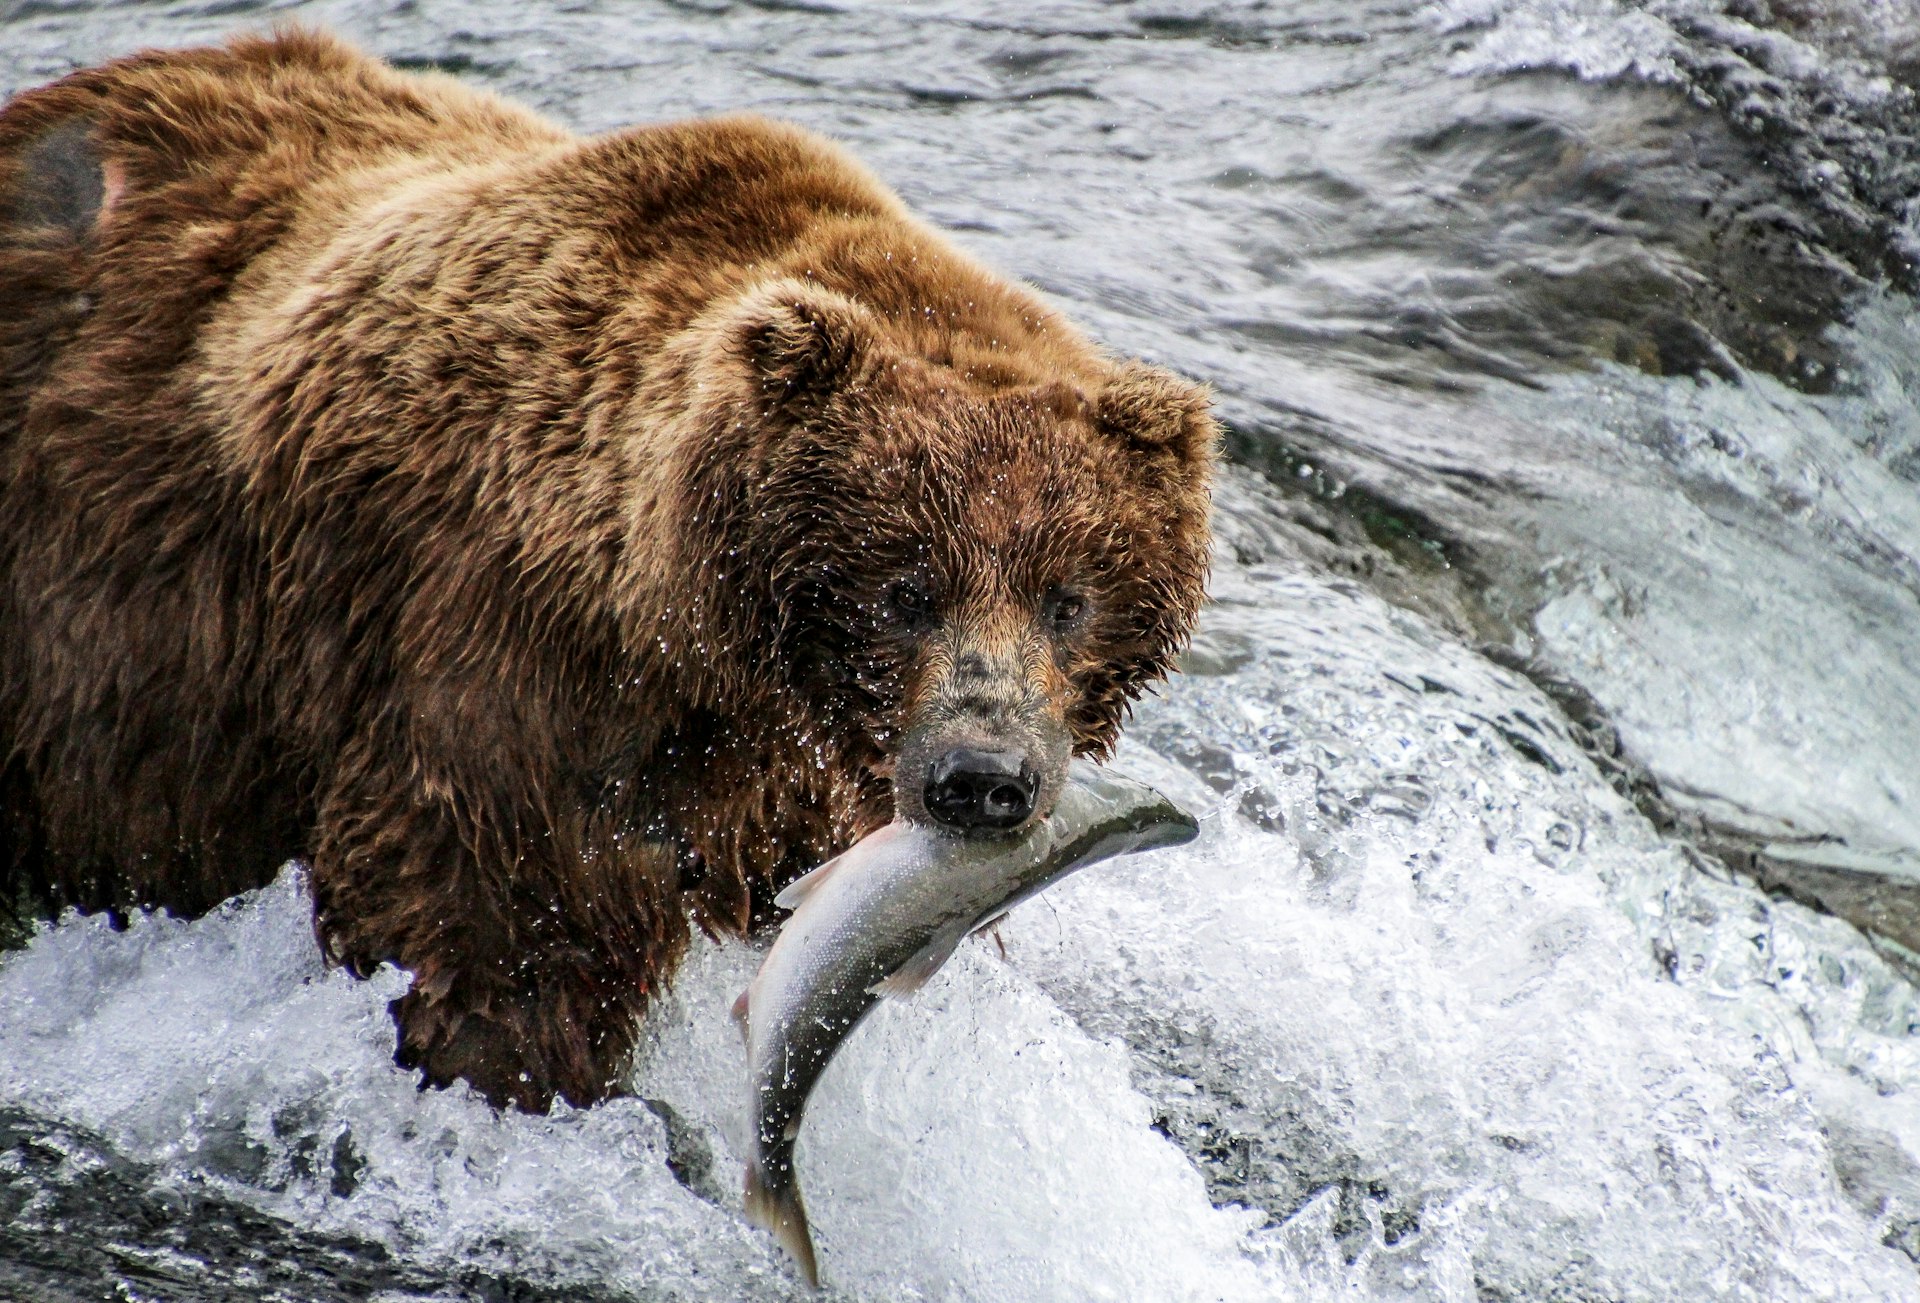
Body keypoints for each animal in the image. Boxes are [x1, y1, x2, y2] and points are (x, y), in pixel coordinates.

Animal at [0, 28, 1213, 1113]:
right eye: (905, 586)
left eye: (1070, 597)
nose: (982, 776)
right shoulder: (504, 683)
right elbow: (496, 949)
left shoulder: (800, 791)